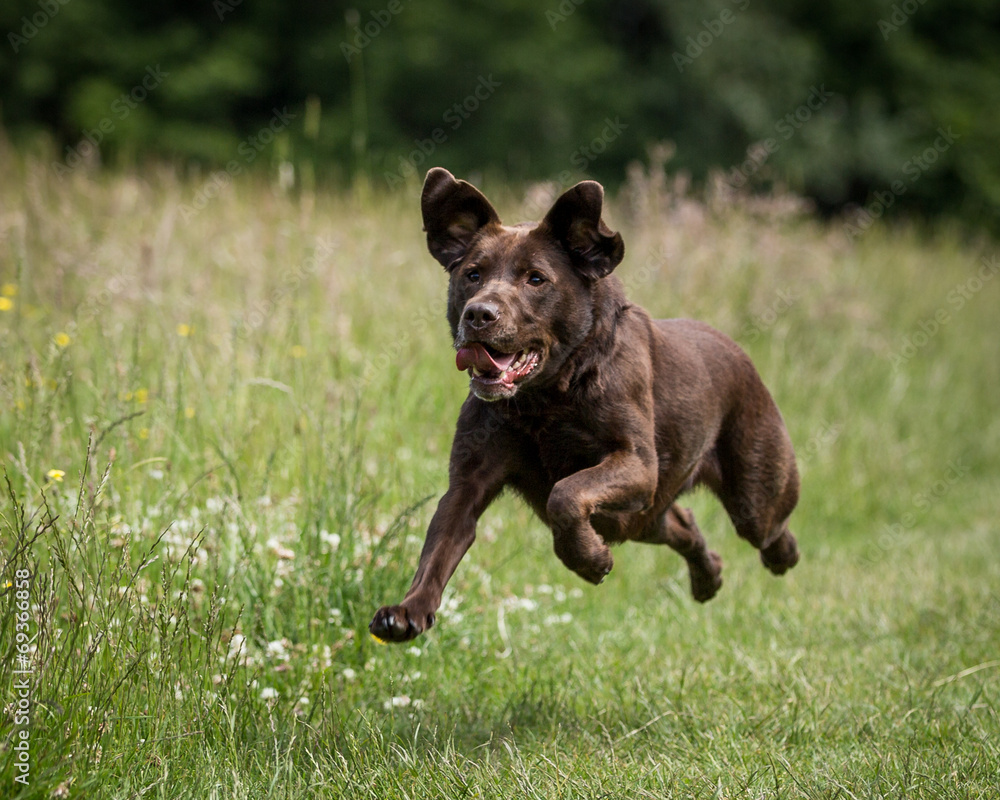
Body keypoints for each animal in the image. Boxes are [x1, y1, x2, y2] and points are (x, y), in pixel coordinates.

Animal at [372, 169, 800, 644]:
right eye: (472, 274)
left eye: (536, 279)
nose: (478, 314)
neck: (545, 399)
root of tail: (739, 352)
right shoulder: (467, 483)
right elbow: (437, 551)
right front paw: (407, 612)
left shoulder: (637, 462)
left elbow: (566, 493)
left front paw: (591, 561)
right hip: (647, 515)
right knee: (684, 522)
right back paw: (709, 579)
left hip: (751, 495)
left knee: (769, 528)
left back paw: (781, 556)